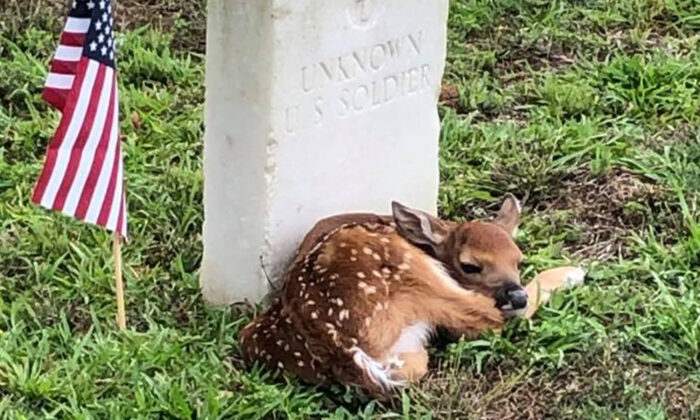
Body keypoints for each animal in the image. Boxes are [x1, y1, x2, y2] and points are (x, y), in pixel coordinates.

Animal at [241, 195, 584, 396]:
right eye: (470, 265)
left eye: (518, 260)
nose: (515, 295)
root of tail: (337, 344)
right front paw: (573, 272)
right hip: (416, 274)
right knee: (487, 319)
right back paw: (571, 273)